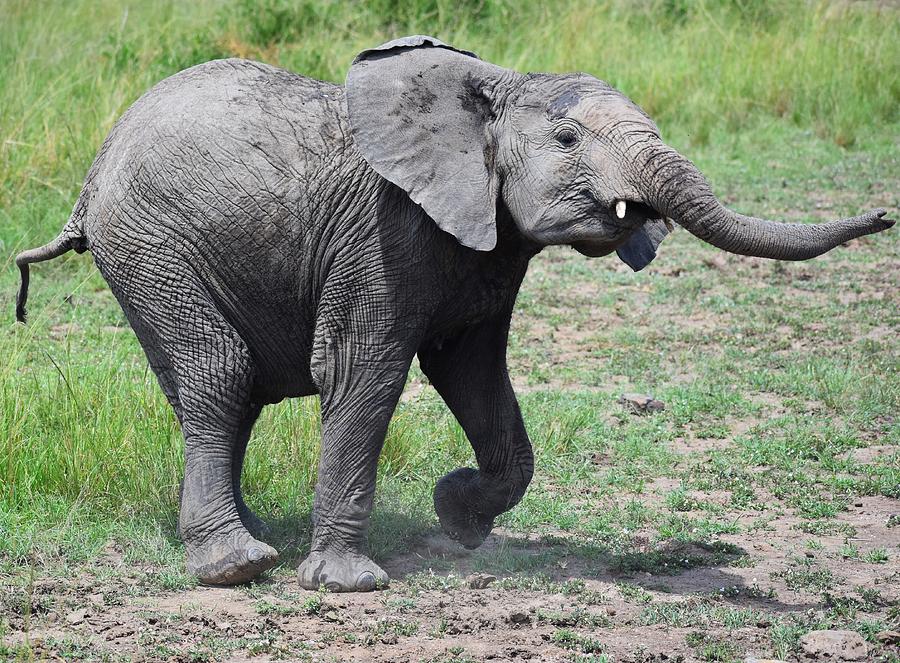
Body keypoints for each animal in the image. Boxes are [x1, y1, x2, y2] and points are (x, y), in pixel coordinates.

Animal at [15, 36, 892, 592]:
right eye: (567, 139)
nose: (886, 215)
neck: (488, 96)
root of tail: (90, 179)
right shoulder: (381, 233)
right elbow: (362, 371)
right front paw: (349, 585)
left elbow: (474, 374)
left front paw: (457, 517)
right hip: (152, 245)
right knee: (219, 376)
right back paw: (237, 564)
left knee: (228, 390)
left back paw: (252, 532)